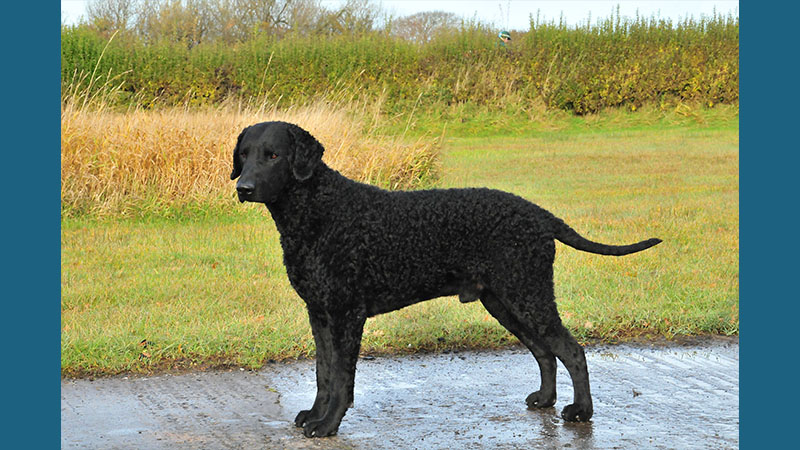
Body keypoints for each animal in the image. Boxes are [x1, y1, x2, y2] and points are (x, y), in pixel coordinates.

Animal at [231, 120, 664, 436]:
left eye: (273, 155)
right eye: (244, 154)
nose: (243, 187)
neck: (318, 212)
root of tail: (540, 215)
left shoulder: (346, 315)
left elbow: (340, 378)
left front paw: (328, 425)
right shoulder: (320, 313)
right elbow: (323, 373)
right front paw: (314, 414)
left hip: (528, 294)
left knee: (572, 351)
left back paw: (581, 412)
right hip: (505, 302)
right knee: (544, 352)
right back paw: (544, 400)